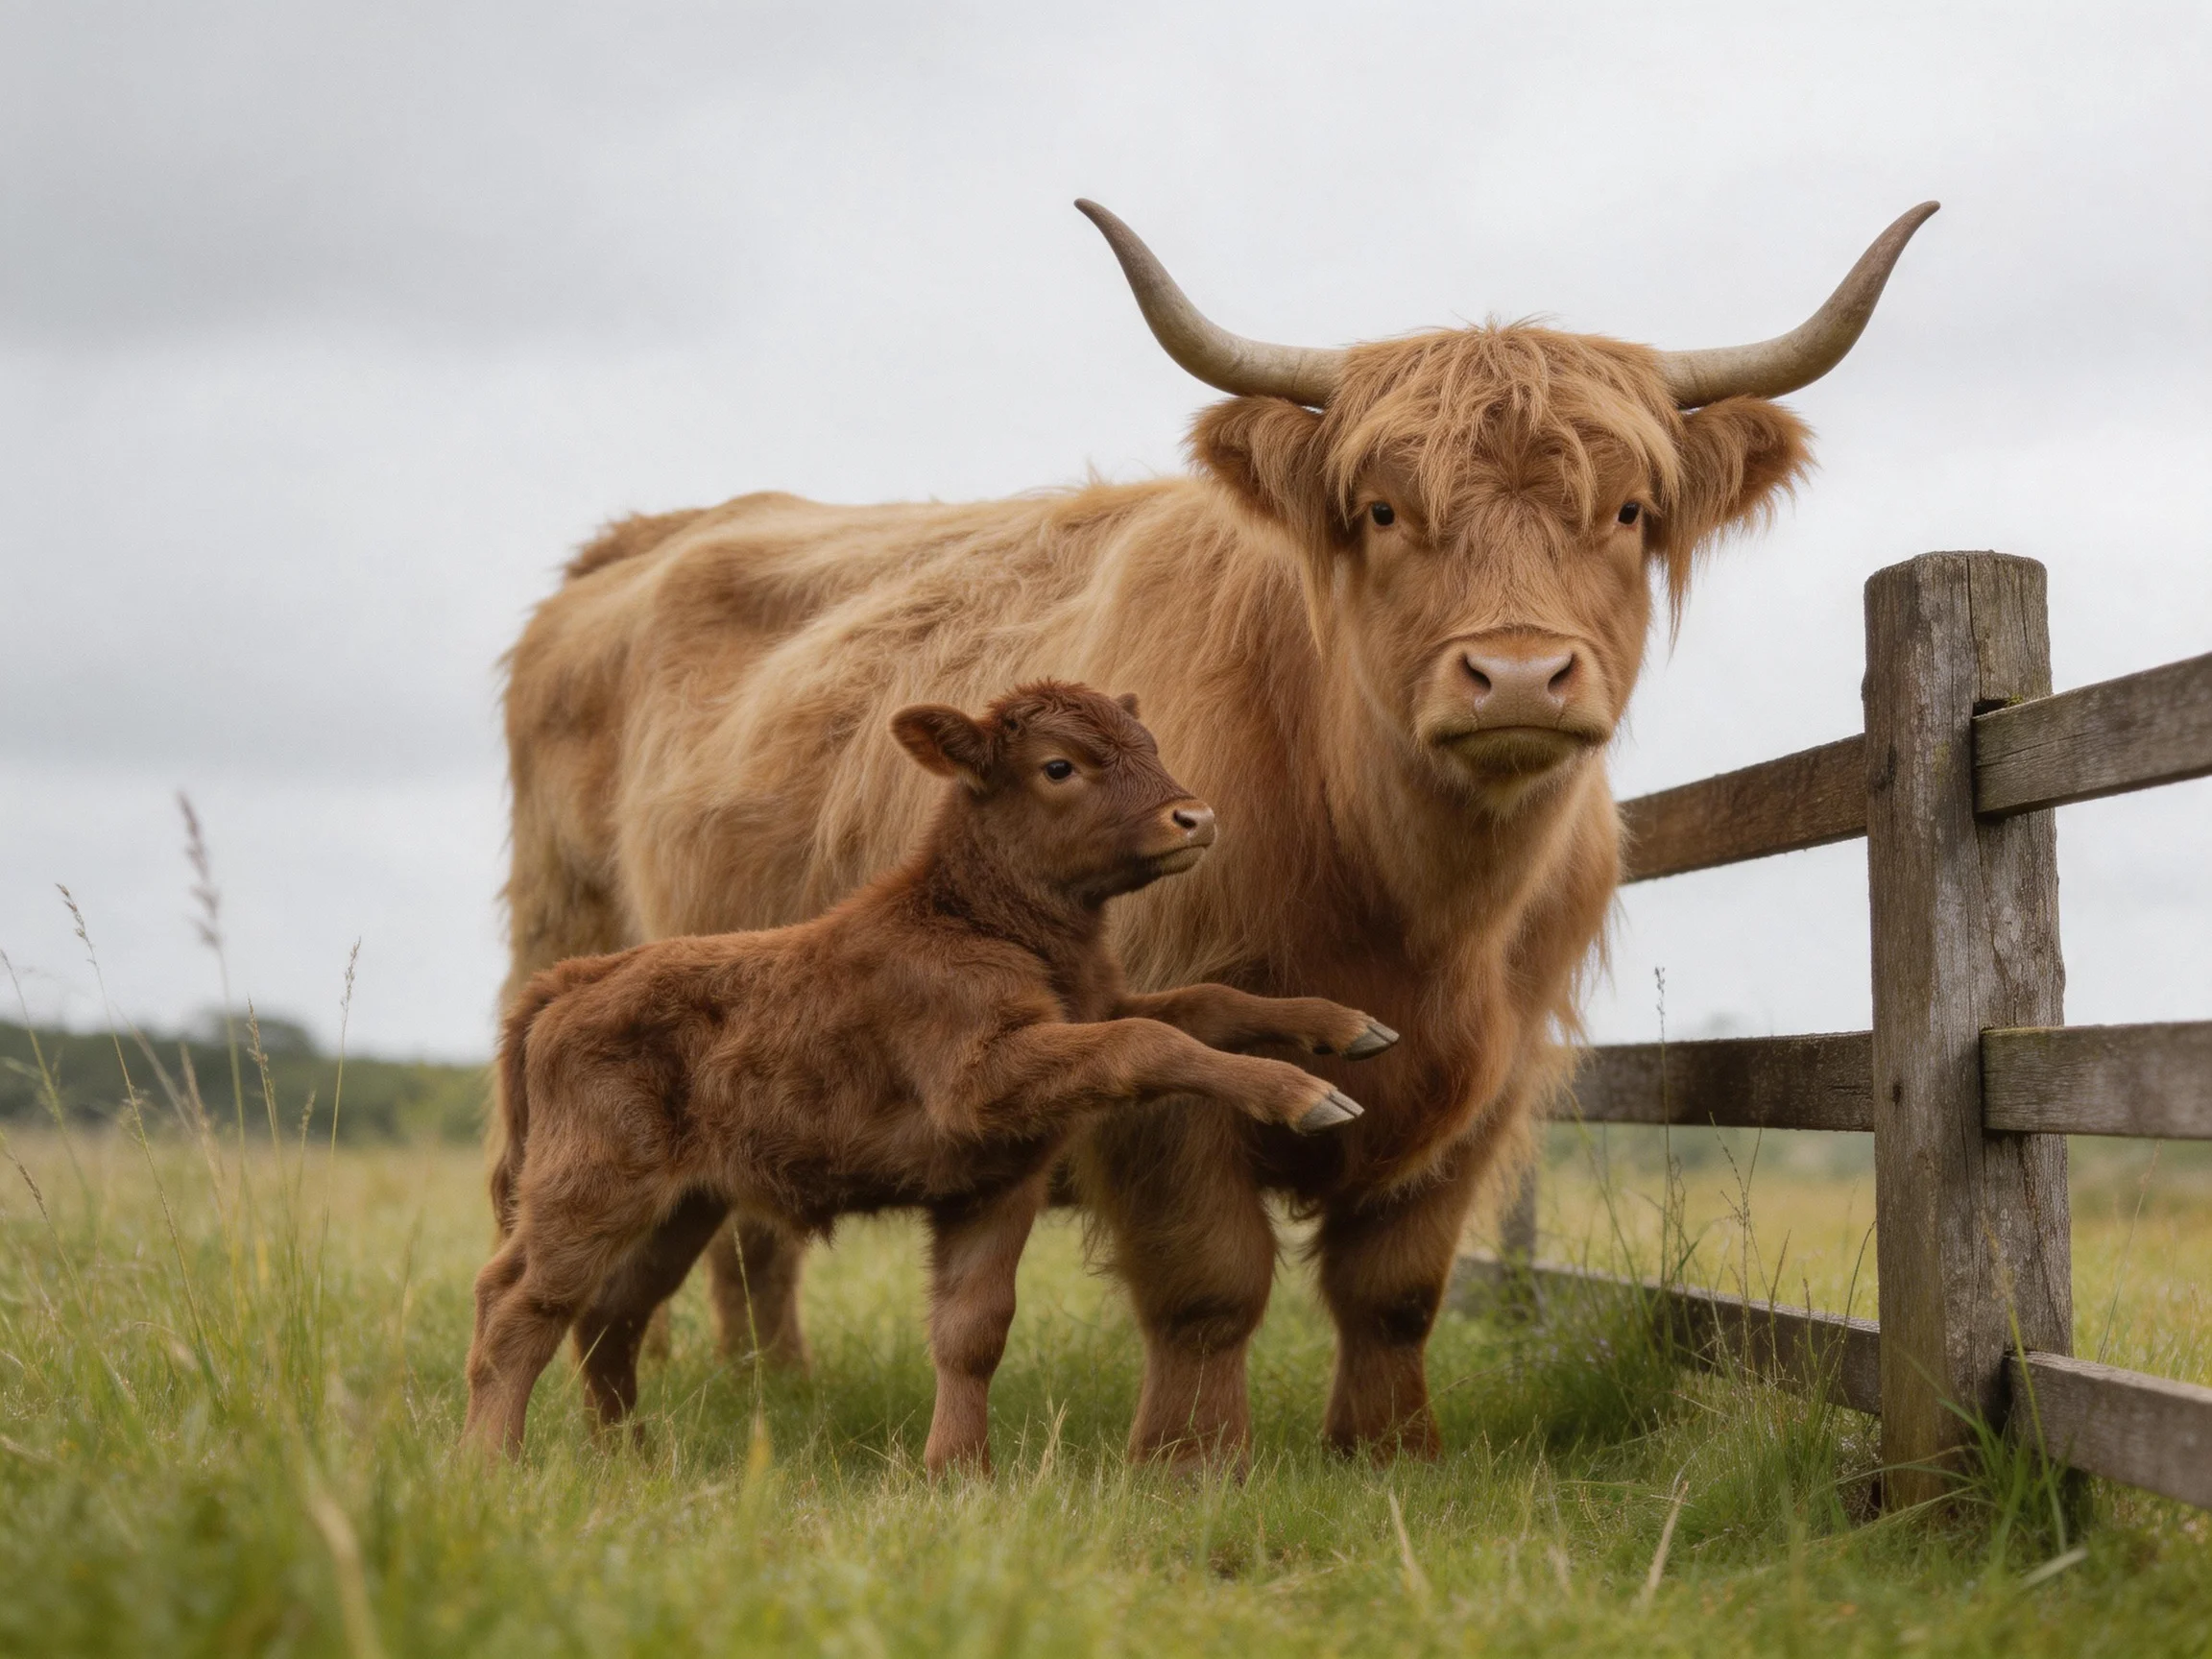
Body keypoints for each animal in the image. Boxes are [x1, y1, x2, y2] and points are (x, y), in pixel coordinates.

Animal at [466, 682, 1395, 1468]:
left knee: (609, 1311)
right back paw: (495, 1464)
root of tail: (576, 978)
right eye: (1059, 766)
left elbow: (972, 1329)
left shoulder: (998, 1173)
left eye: (1150, 743)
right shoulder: (983, 1080)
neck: (977, 919)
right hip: (590, 1187)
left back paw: (627, 1453)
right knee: (522, 1306)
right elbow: (1147, 1040)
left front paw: (957, 1471)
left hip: (680, 1206)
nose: (1194, 817)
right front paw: (1303, 1095)